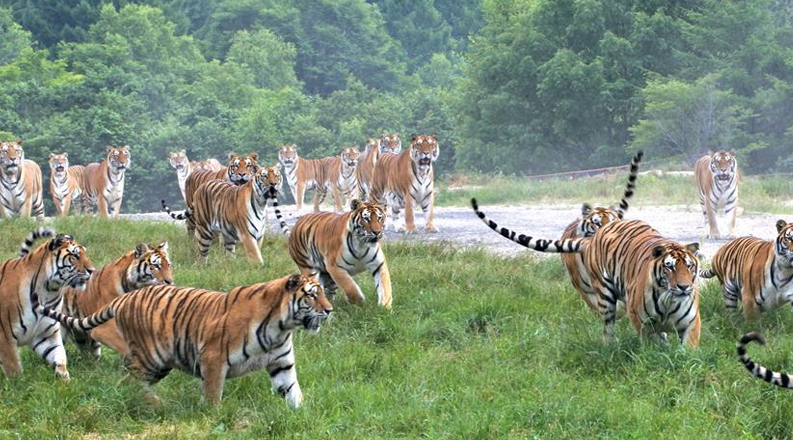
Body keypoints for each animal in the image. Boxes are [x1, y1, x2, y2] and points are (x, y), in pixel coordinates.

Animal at [0, 229, 94, 380]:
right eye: (75, 256)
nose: (92, 270)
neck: (48, 291)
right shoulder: (5, 337)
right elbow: (14, 369)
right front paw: (18, 384)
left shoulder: (46, 334)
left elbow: (60, 356)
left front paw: (64, 380)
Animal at [37, 276, 332, 406]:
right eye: (312, 295)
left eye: (323, 293)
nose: (329, 310)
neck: (281, 326)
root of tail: (124, 297)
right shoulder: (213, 358)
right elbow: (213, 395)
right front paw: (211, 417)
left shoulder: (282, 363)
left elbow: (292, 392)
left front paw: (302, 415)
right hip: (151, 358)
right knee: (126, 381)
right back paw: (152, 403)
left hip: (156, 363)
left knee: (127, 379)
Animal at [470, 199, 700, 348]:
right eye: (669, 267)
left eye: (689, 266)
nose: (684, 287)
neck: (668, 299)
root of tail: (594, 238)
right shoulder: (641, 321)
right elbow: (654, 342)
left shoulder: (690, 323)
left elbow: (686, 351)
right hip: (604, 295)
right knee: (608, 326)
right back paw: (610, 348)